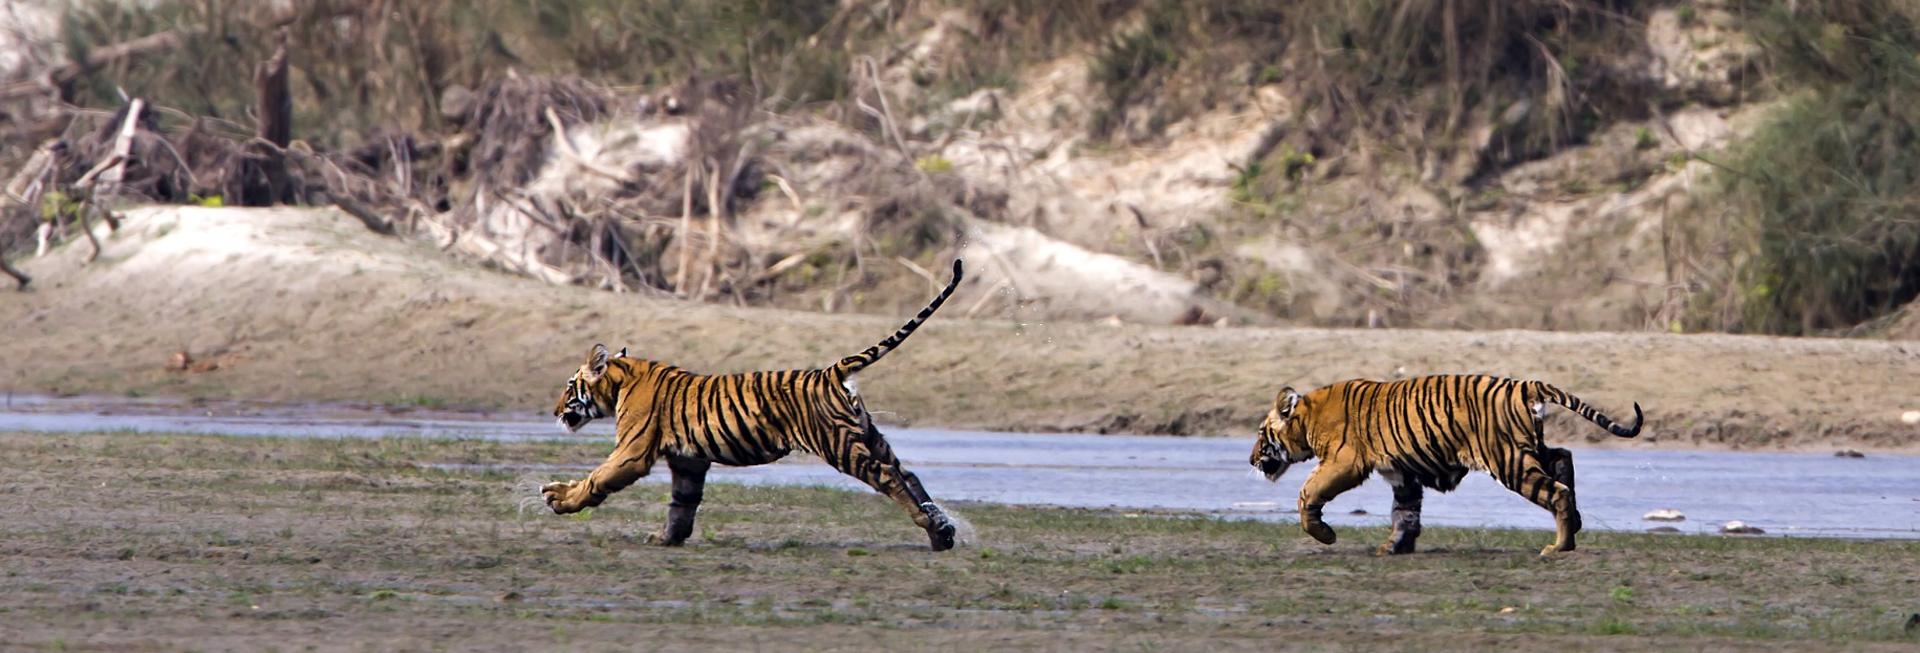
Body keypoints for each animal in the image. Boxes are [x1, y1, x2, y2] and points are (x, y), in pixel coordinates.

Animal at [541, 259, 966, 551]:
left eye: (569, 386)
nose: (555, 411)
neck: (622, 380)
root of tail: (830, 372)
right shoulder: (689, 460)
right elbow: (682, 503)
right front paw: (667, 538)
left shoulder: (632, 452)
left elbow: (597, 478)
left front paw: (560, 498)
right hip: (869, 436)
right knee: (909, 475)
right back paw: (941, 531)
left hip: (838, 444)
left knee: (890, 477)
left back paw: (929, 527)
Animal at [1249, 374, 1643, 556]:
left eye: (1261, 433)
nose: (1251, 459)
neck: (1306, 418)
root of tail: (1523, 384)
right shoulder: (1402, 473)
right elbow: (1405, 512)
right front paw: (1396, 546)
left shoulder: (1343, 462)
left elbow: (1307, 493)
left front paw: (1325, 535)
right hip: (1528, 449)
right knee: (1564, 458)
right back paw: (1575, 527)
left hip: (1509, 460)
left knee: (1557, 490)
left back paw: (1559, 546)